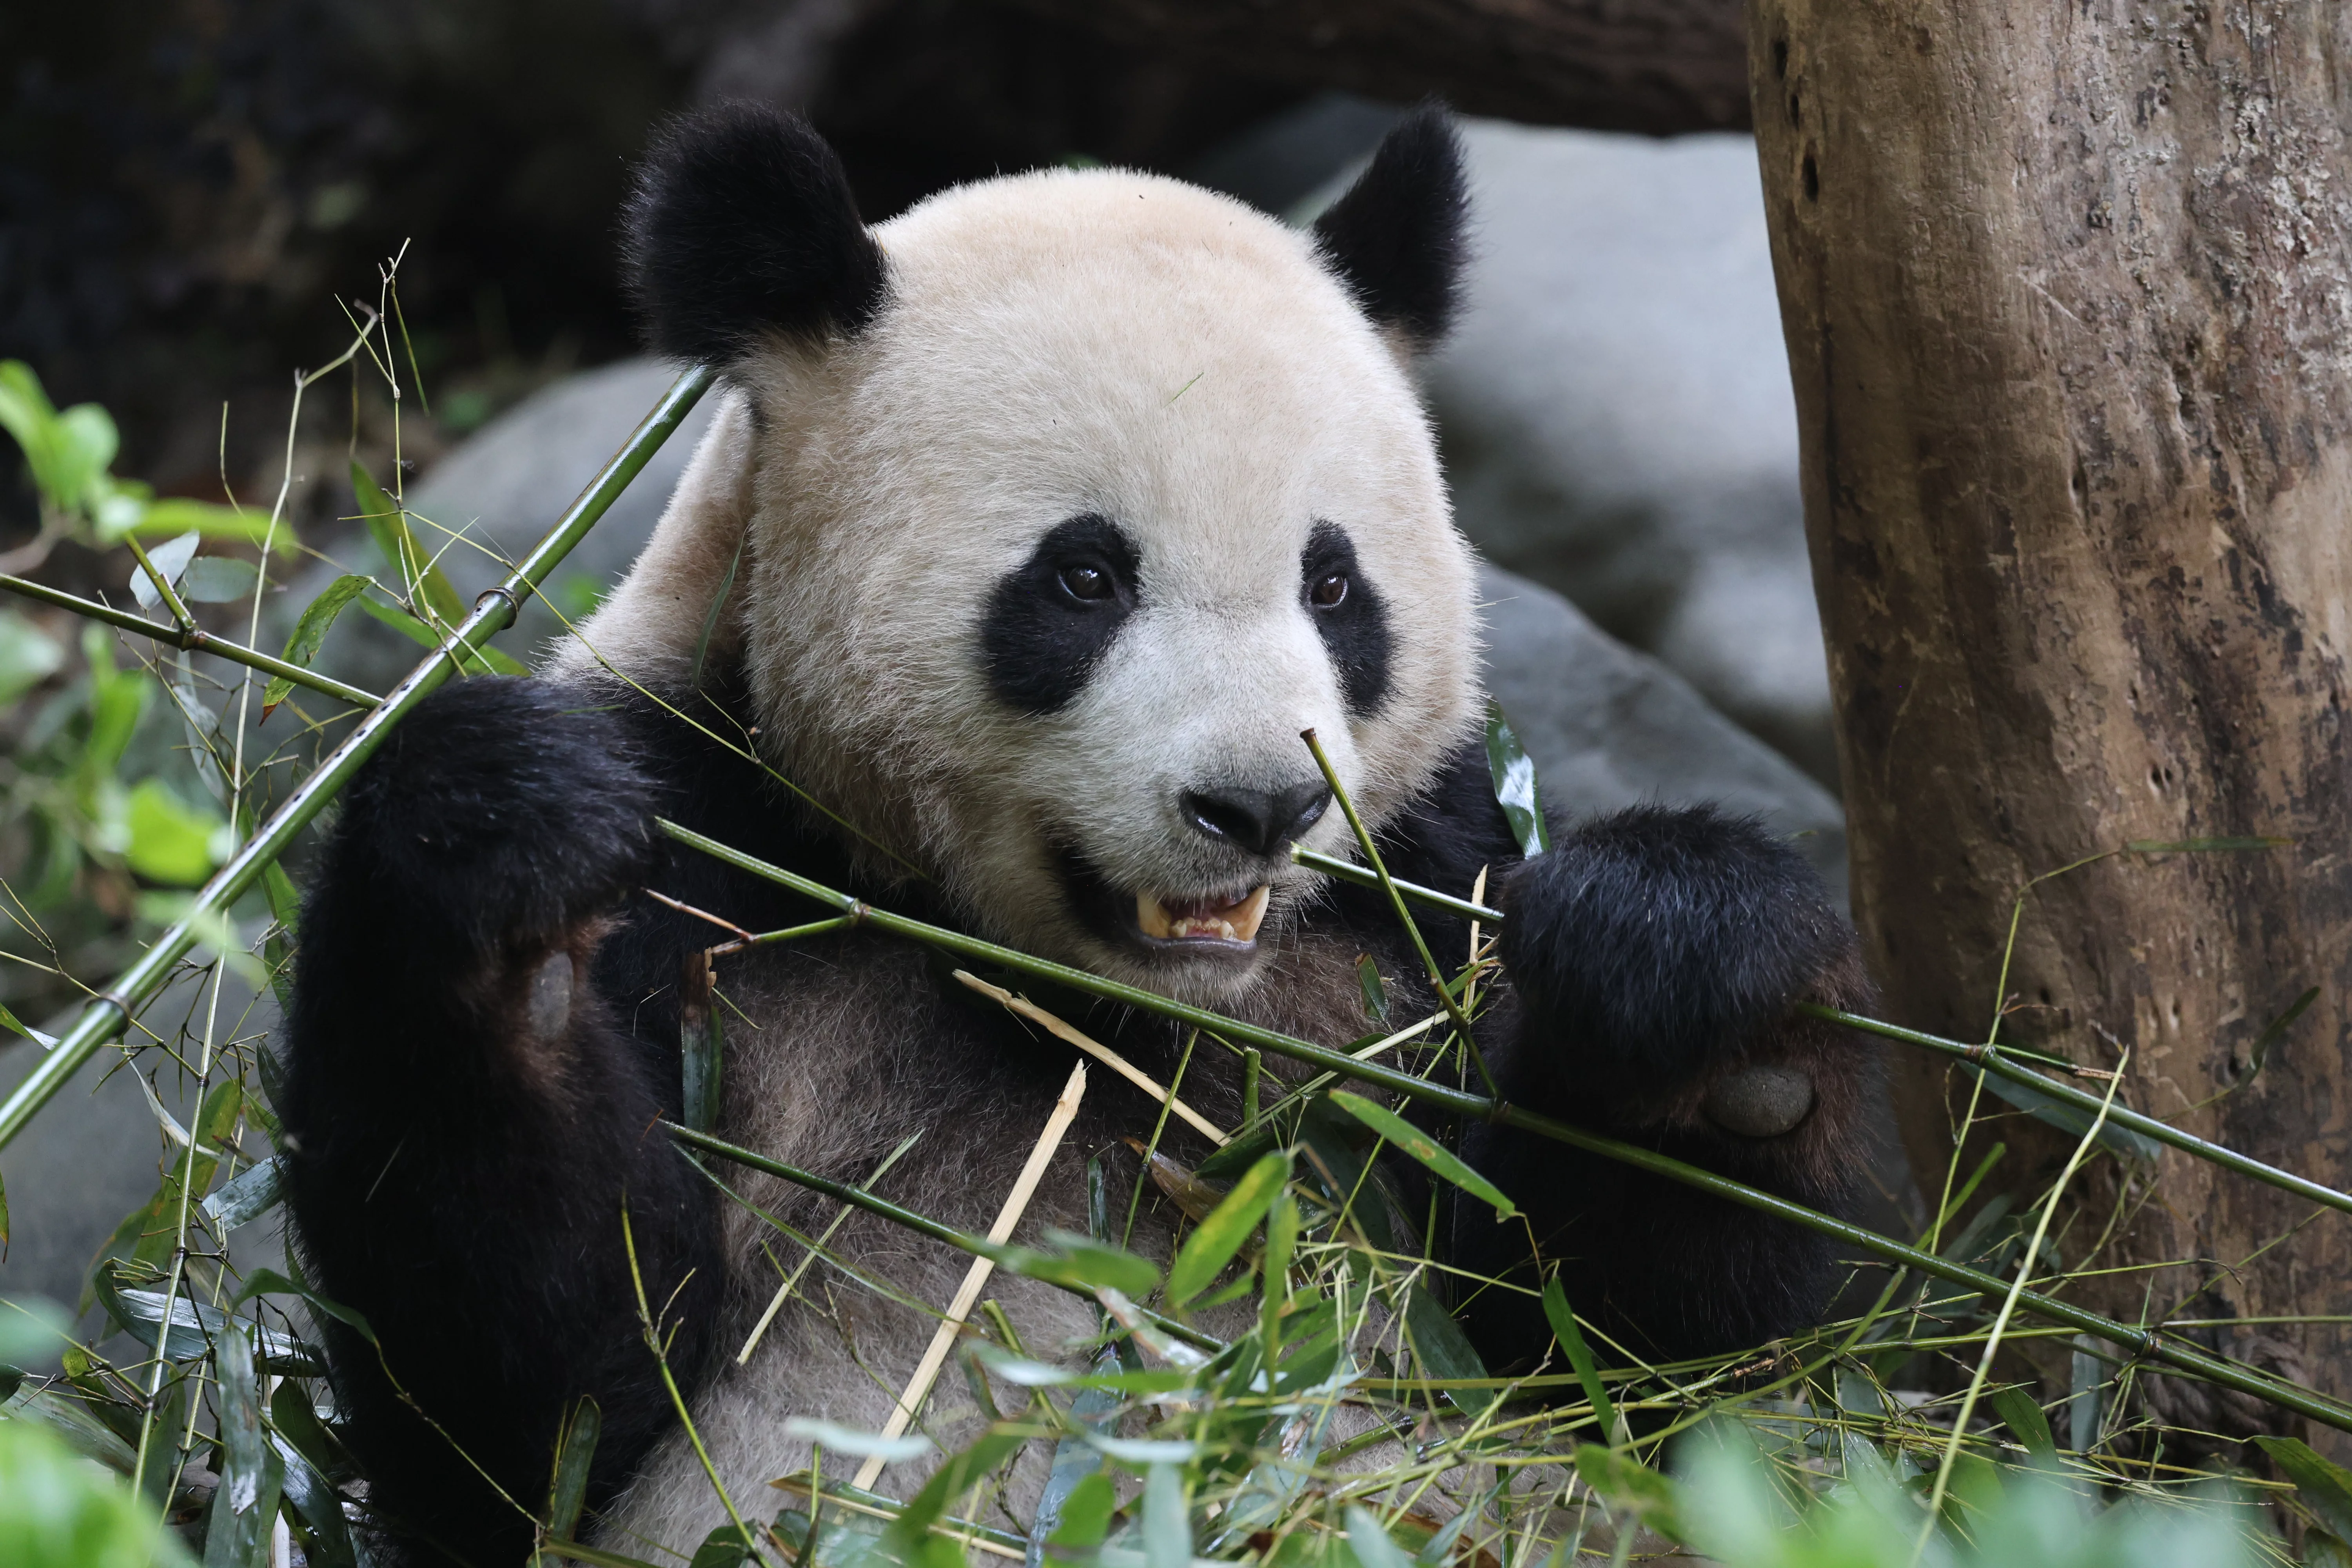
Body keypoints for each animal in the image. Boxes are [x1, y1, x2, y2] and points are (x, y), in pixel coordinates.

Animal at [281, 103, 1875, 1566]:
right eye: (1086, 577)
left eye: (1335, 587)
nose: (1258, 804)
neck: (1084, 1001)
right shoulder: (704, 863)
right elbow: (534, 1410)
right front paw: (509, 898)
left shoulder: (1408, 919)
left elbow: (1610, 1360)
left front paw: (1697, 1002)